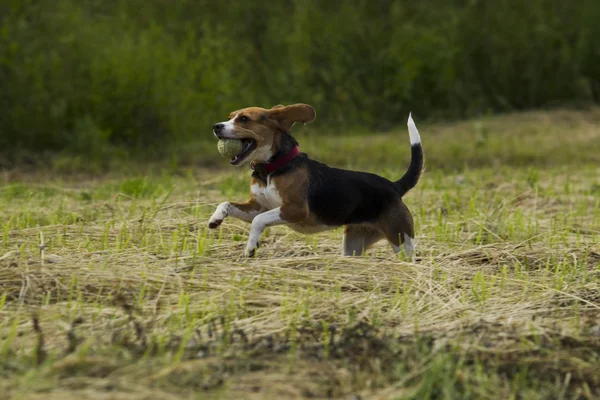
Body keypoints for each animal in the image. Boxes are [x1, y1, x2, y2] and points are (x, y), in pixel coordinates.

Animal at [209, 104, 424, 258]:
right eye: (230, 116)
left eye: (244, 119)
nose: (216, 126)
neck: (272, 168)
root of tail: (394, 186)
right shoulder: (257, 206)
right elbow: (227, 204)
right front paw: (215, 219)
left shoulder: (295, 209)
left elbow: (258, 220)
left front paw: (251, 247)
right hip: (353, 244)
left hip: (401, 240)